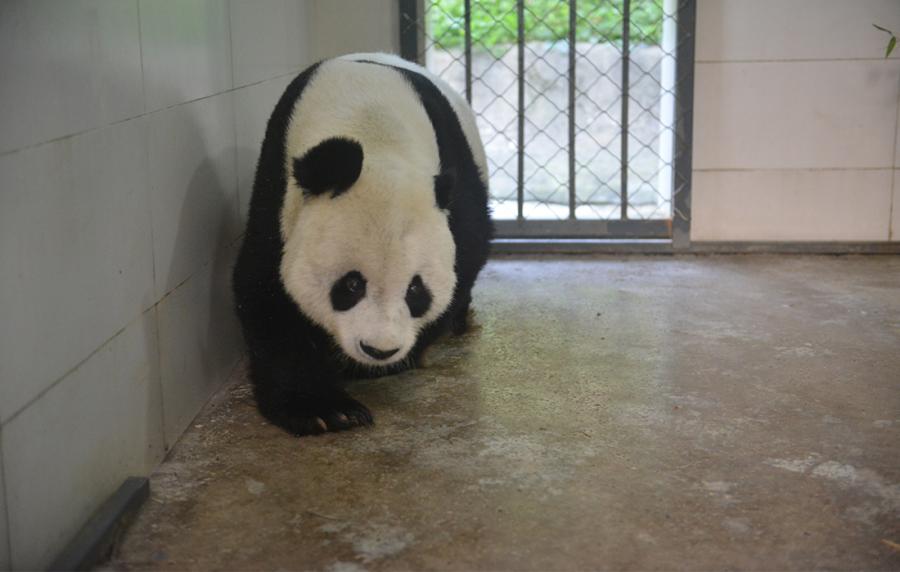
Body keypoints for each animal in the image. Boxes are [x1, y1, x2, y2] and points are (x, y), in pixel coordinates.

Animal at [233, 53, 493, 436]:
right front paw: (325, 410)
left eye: (416, 289)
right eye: (352, 284)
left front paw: (383, 363)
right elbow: (267, 290)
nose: (379, 350)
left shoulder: (456, 193)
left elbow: (466, 257)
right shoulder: (277, 190)